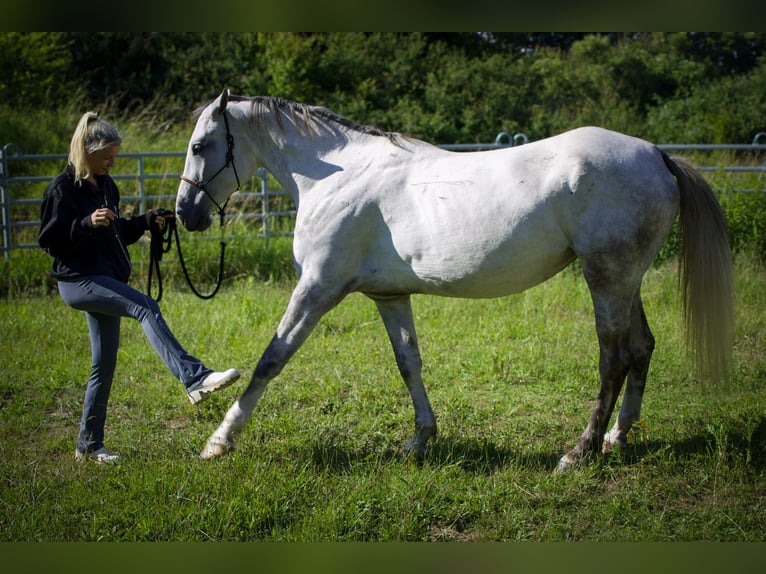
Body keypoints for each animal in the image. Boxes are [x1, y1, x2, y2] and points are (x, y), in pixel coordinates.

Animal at [176, 86, 736, 472]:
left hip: (607, 280)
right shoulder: (389, 295)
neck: (339, 175)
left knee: (614, 359)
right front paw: (420, 439)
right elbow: (409, 364)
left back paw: (578, 452)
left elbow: (271, 360)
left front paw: (219, 441)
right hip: (625, 282)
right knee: (642, 347)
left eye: (201, 145)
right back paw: (617, 439)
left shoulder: (316, 290)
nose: (185, 214)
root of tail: (657, 155)